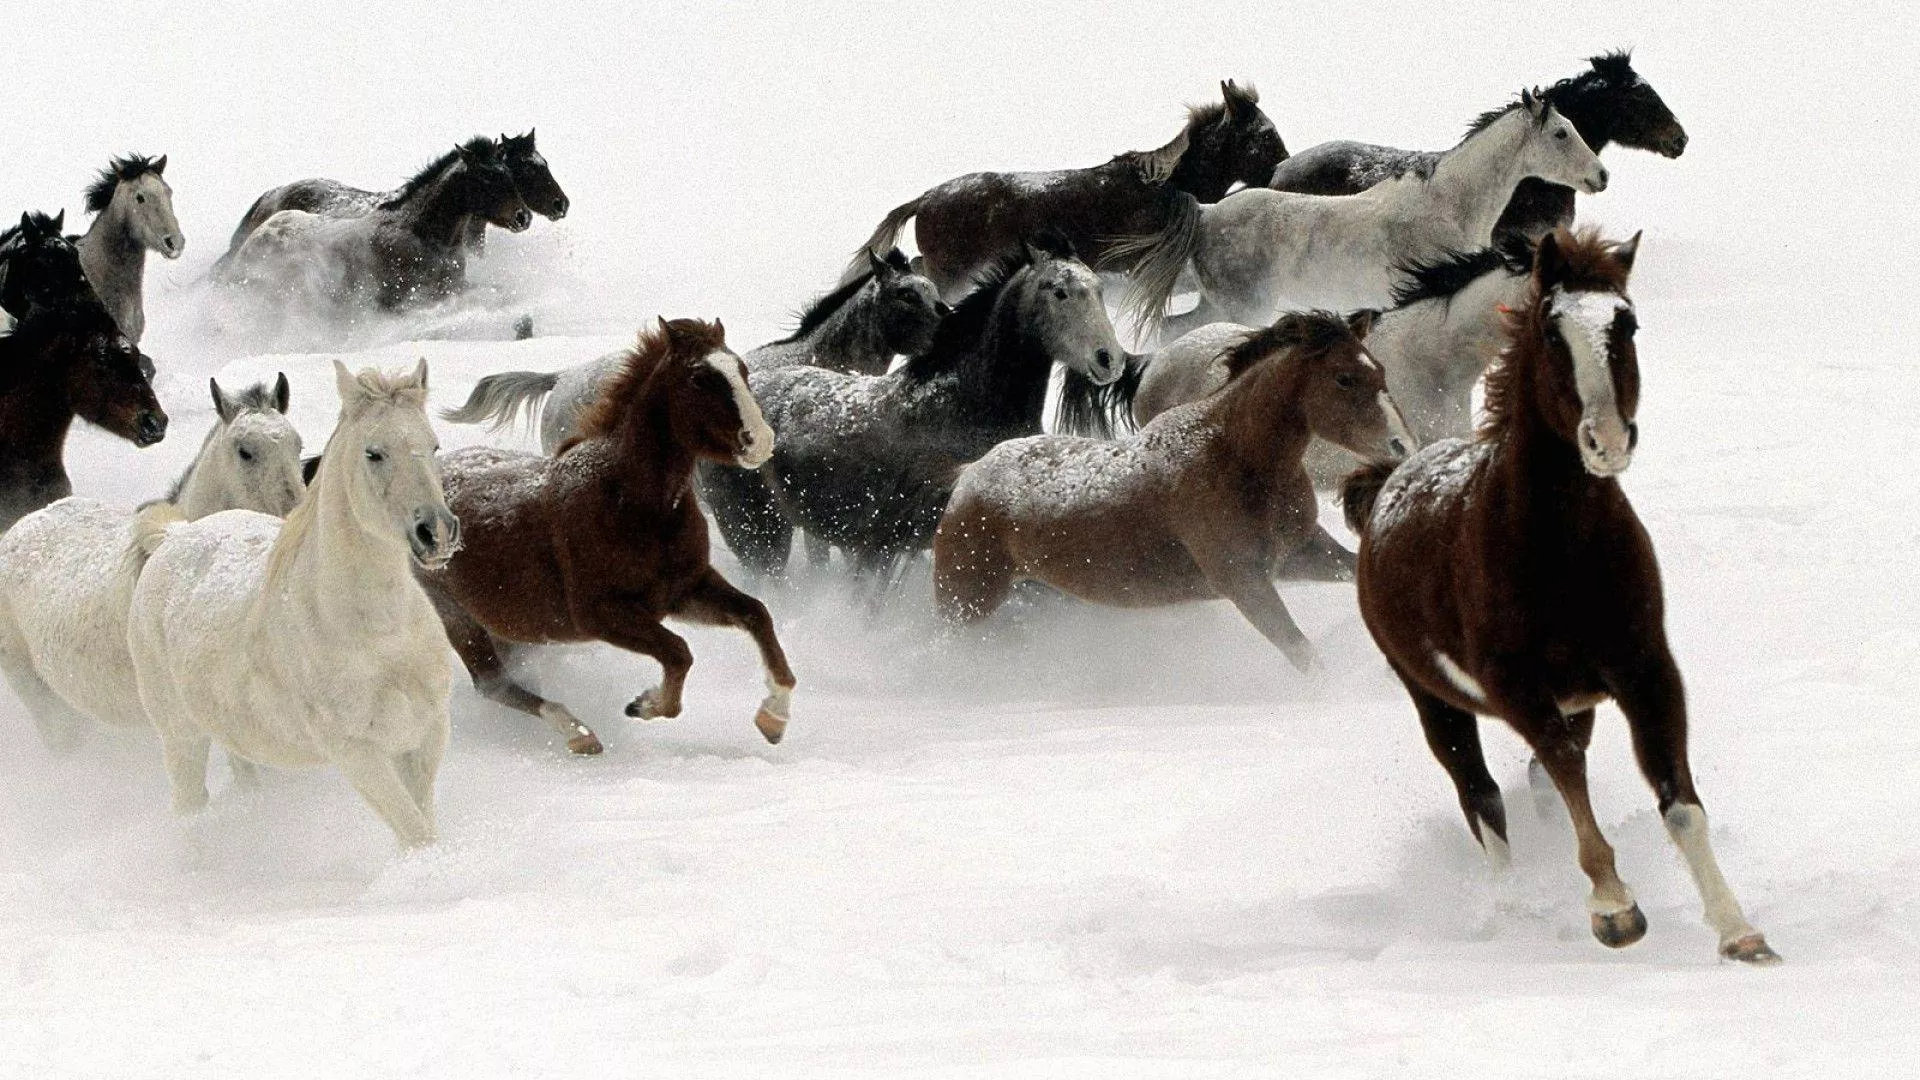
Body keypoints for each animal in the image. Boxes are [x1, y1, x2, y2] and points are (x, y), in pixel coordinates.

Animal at [127, 360, 460, 849]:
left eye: (433, 445)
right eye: (373, 453)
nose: (436, 532)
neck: (379, 634)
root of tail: (173, 536)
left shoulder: (425, 734)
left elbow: (424, 825)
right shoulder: (357, 752)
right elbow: (416, 834)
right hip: (180, 736)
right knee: (189, 803)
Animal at [417, 318, 794, 757]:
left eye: (741, 370)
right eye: (700, 378)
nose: (760, 440)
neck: (629, 504)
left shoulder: (685, 590)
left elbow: (756, 614)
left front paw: (773, 717)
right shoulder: (602, 614)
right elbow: (679, 653)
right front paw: (645, 705)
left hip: (508, 627)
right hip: (457, 617)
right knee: (492, 684)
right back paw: (579, 734)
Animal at [1118, 90, 1606, 337]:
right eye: (1561, 133)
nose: (1601, 176)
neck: (1448, 206)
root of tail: (1206, 215)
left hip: (1218, 305)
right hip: (1240, 309)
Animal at [1339, 229, 1778, 964]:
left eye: (1626, 323)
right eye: (1550, 332)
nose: (1608, 441)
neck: (1561, 551)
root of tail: (1384, 484)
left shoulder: (1646, 671)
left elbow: (1678, 799)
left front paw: (1740, 932)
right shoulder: (1517, 687)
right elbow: (1565, 772)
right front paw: (1615, 910)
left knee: (1533, 786)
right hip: (1434, 700)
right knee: (1482, 797)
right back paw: (1513, 910)